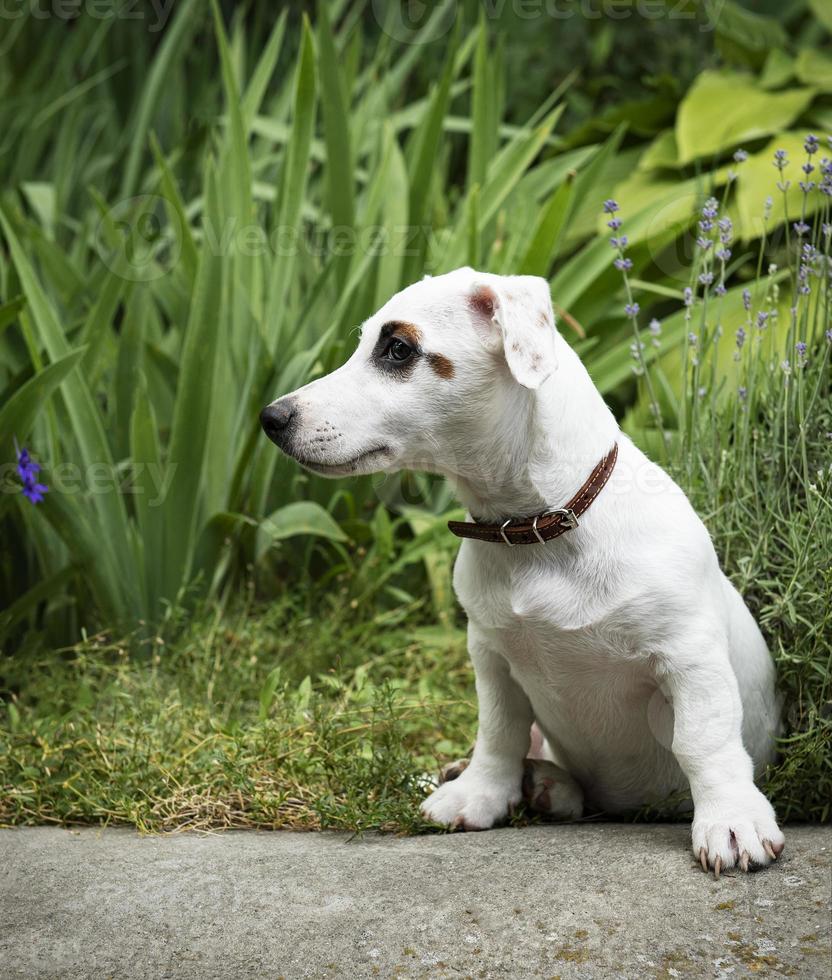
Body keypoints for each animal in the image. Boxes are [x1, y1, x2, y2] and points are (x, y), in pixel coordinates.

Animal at [262, 266, 788, 872]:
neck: (536, 530)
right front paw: (480, 792)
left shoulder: (690, 659)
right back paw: (529, 782)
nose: (271, 418)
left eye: (397, 349)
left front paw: (731, 819)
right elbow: (499, 734)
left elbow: (705, 740)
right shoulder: (492, 657)